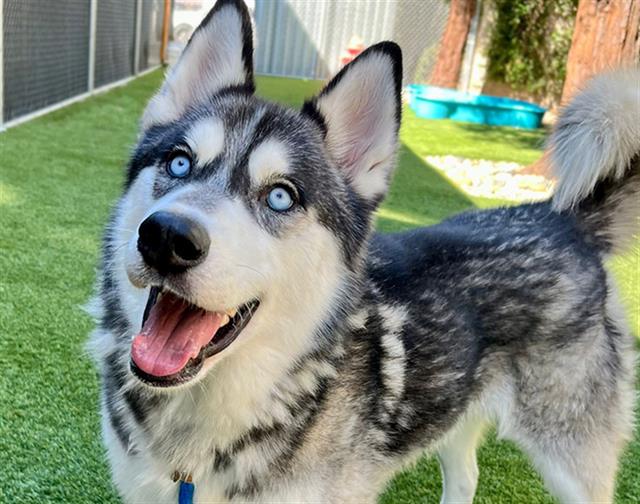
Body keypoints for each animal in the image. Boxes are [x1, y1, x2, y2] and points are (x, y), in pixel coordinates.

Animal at [87, 1, 636, 502]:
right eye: (178, 163)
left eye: (281, 196)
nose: (166, 238)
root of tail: (563, 217)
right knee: (466, 476)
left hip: (571, 458)